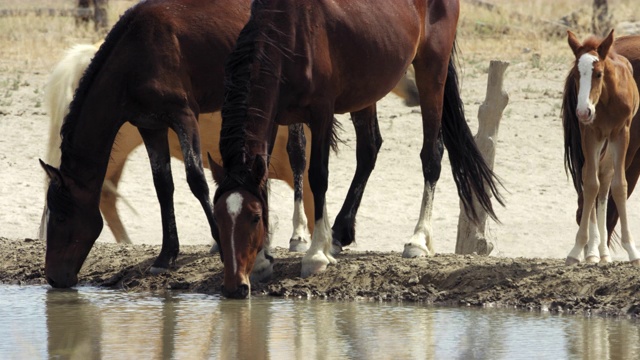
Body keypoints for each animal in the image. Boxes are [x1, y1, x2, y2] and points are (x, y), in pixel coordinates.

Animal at [40, 0, 420, 288]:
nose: (55, 278)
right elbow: (163, 186)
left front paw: (220, 244)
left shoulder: (184, 115)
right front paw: (167, 254)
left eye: (61, 215)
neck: (138, 50)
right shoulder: (150, 125)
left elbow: (195, 179)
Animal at [212, 0, 502, 298]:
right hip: (368, 89)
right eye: (217, 218)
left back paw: (418, 240)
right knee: (369, 149)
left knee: (431, 154)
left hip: (432, 70)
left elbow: (318, 176)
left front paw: (315, 255)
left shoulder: (322, 112)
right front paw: (261, 262)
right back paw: (340, 232)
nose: (234, 287)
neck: (288, 33)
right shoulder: (274, 117)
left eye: (254, 218)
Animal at [564, 29, 636, 266]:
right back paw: (595, 251)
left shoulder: (622, 133)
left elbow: (619, 186)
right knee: (595, 178)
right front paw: (577, 249)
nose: (583, 112)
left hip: (611, 143)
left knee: (605, 181)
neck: (606, 100)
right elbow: (590, 184)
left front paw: (632, 251)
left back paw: (604, 252)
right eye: (577, 75)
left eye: (598, 74)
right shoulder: (590, 134)